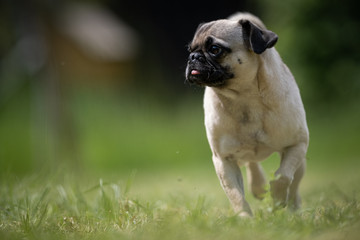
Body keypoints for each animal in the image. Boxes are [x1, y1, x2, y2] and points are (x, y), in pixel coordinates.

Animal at [186, 12, 310, 217]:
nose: (193, 57)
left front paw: (278, 198)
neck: (244, 98)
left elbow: (283, 176)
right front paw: (245, 218)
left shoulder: (297, 145)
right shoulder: (223, 160)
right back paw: (258, 187)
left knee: (294, 185)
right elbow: (236, 195)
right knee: (252, 164)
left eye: (214, 49)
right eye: (190, 49)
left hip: (300, 163)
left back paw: (293, 209)